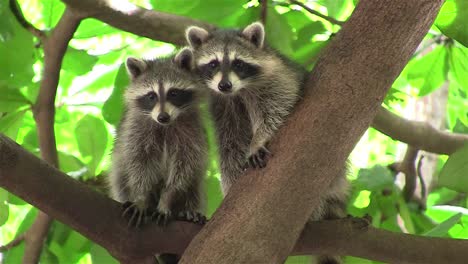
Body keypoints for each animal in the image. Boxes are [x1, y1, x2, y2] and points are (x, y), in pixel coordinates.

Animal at [109, 49, 207, 262]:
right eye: (151, 96)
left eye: (173, 93)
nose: (163, 117)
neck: (165, 125)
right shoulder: (136, 131)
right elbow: (138, 163)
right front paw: (141, 197)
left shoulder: (191, 131)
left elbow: (184, 167)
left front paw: (167, 199)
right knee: (120, 175)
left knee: (193, 185)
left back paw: (187, 212)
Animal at [185, 22, 350, 264]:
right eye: (213, 64)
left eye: (238, 63)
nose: (224, 85)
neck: (239, 90)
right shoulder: (223, 105)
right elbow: (230, 144)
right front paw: (232, 183)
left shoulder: (277, 78)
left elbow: (277, 107)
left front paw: (259, 139)